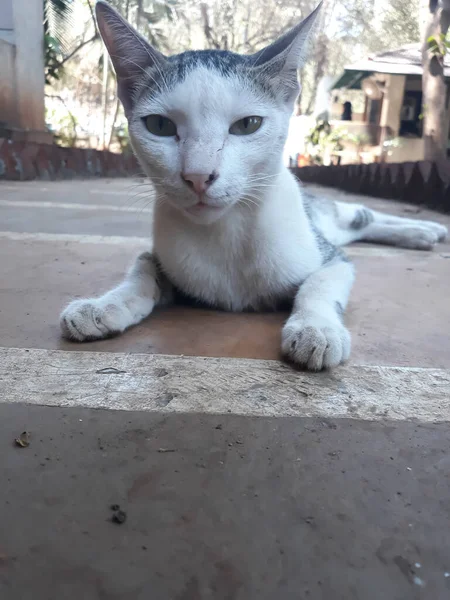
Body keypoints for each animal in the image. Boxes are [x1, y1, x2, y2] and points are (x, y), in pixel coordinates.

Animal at [59, 1, 446, 370]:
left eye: (248, 125)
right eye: (159, 125)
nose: (198, 176)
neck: (227, 231)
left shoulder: (334, 259)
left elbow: (318, 284)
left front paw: (316, 328)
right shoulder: (162, 255)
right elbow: (141, 269)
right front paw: (103, 306)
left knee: (363, 214)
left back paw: (427, 229)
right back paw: (419, 235)